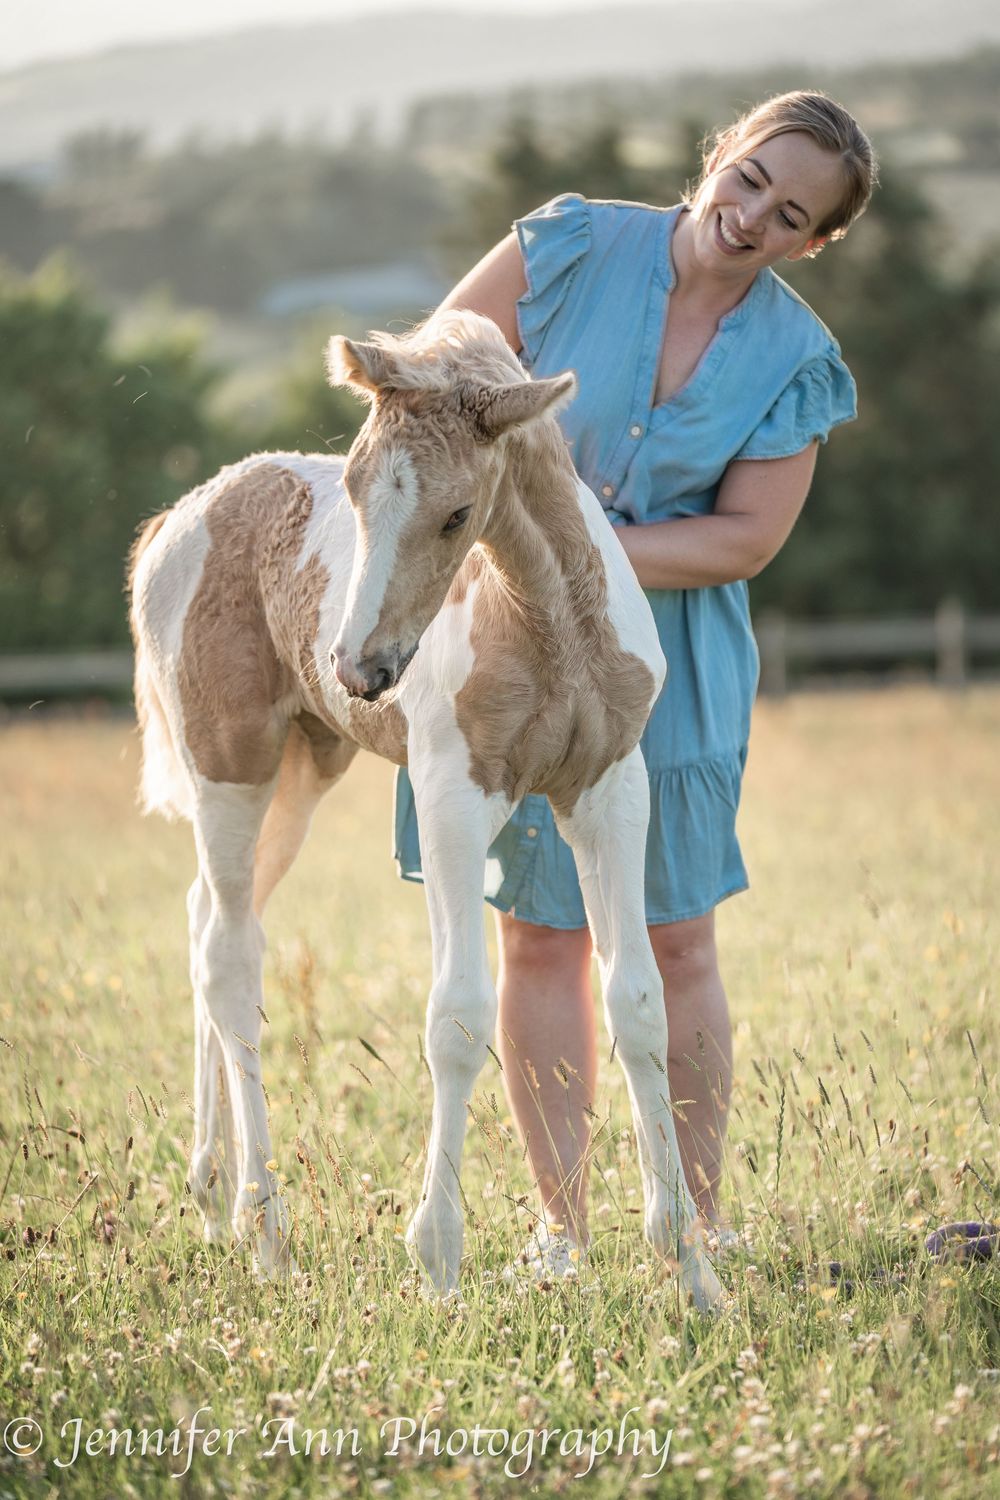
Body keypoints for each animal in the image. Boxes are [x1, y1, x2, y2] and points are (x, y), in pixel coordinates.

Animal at [128, 309, 722, 1310]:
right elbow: (459, 1016)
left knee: (206, 917)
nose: (358, 669)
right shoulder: (453, 795)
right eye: (355, 491)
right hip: (231, 771)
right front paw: (439, 1259)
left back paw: (212, 1197)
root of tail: (184, 515)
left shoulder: (611, 792)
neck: (549, 620)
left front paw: (689, 1266)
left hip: (303, 771)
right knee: (229, 956)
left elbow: (639, 1005)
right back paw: (265, 1228)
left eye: (454, 514)